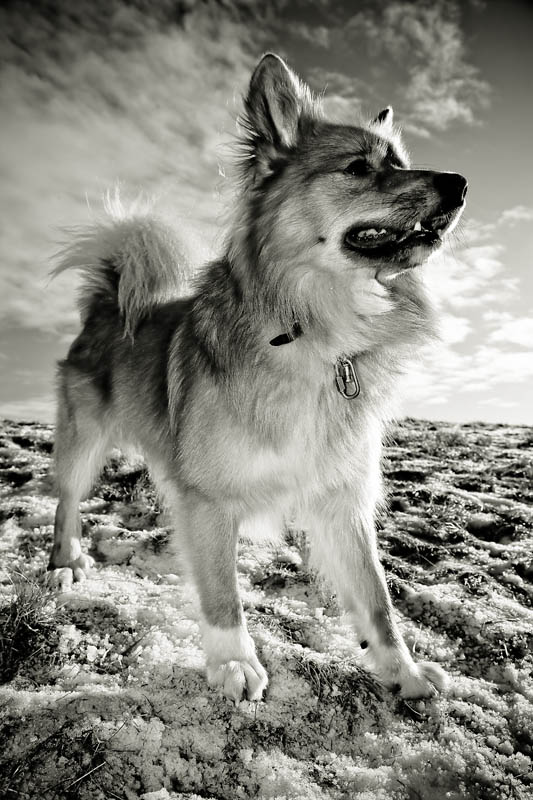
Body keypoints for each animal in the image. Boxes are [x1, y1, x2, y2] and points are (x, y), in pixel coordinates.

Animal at [48, 53, 466, 700]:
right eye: (359, 168)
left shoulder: (341, 497)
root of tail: (105, 305)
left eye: (399, 162)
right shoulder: (209, 498)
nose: (460, 184)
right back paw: (65, 560)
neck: (316, 332)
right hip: (84, 440)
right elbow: (222, 591)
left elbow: (375, 596)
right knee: (66, 498)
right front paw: (233, 662)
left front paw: (402, 670)